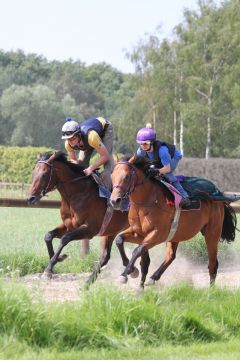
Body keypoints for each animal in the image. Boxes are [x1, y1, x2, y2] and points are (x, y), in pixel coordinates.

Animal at [26, 150, 131, 282]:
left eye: (44, 174)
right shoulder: (69, 225)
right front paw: (58, 258)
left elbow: (64, 239)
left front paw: (49, 268)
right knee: (107, 255)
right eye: (33, 172)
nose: (30, 198)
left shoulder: (90, 229)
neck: (76, 194)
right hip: (112, 230)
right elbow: (48, 236)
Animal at [109, 156, 237, 288]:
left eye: (127, 176)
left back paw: (211, 290)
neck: (145, 203)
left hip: (212, 232)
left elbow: (137, 251)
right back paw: (153, 277)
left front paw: (126, 274)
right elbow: (120, 240)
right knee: (171, 256)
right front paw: (134, 273)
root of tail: (219, 194)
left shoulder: (158, 234)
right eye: (112, 176)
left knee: (212, 263)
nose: (115, 201)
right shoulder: (139, 233)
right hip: (176, 234)